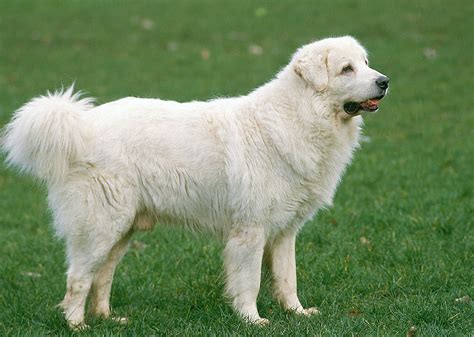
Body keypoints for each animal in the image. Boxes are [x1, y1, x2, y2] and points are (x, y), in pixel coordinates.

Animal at [0, 36, 388, 328]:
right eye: (347, 69)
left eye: (366, 62)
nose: (384, 81)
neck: (300, 116)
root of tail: (80, 126)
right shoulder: (250, 231)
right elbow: (250, 281)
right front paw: (252, 320)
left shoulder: (284, 233)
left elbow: (287, 278)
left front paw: (297, 313)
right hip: (100, 227)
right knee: (78, 277)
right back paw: (76, 324)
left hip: (122, 231)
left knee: (102, 276)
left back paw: (109, 319)